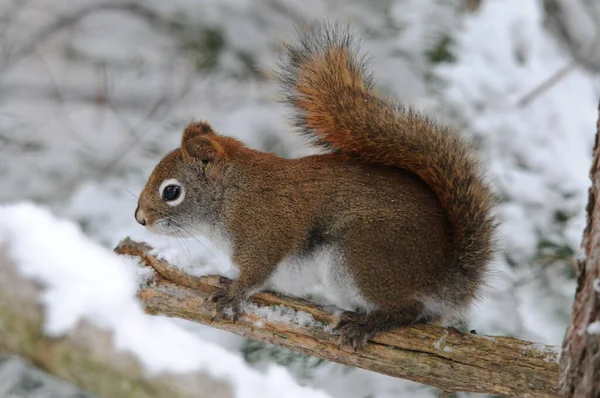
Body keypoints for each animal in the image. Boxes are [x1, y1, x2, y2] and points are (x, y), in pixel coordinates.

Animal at [136, 22, 496, 352]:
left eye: (171, 191)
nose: (139, 218)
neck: (232, 195)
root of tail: (446, 274)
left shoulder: (263, 234)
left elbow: (255, 274)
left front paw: (232, 294)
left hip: (364, 254)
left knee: (408, 308)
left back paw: (368, 324)